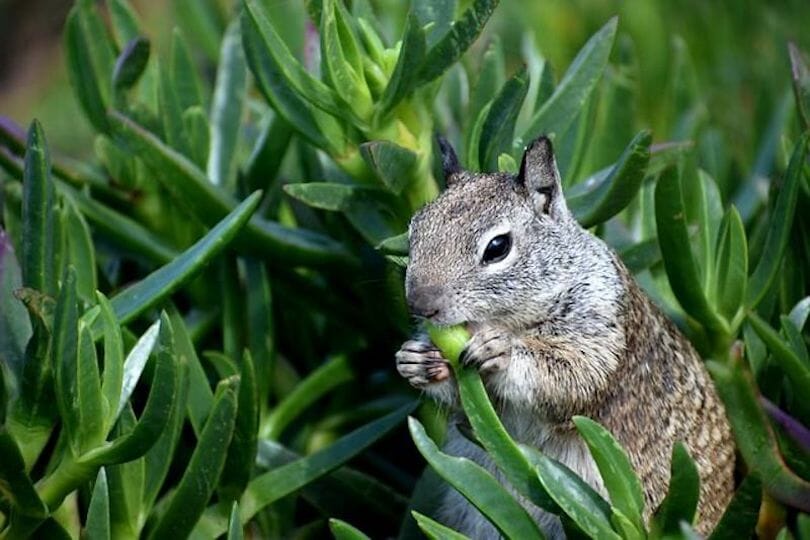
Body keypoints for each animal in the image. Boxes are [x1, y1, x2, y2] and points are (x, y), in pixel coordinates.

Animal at [396, 136, 734, 538]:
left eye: (497, 247)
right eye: (413, 231)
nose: (419, 304)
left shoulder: (601, 329)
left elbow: (571, 376)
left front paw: (503, 353)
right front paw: (416, 361)